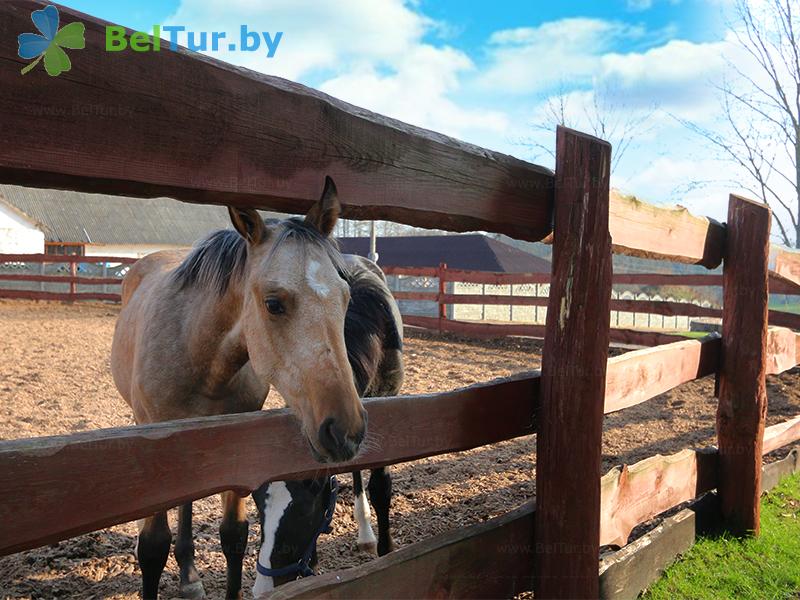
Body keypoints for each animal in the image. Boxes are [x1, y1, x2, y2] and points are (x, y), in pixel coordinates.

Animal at [111, 177, 368, 600]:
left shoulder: (238, 443)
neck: (196, 352)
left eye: (345, 296)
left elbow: (233, 536)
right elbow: (152, 548)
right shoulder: (153, 446)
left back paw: (190, 576)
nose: (345, 430)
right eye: (274, 303)